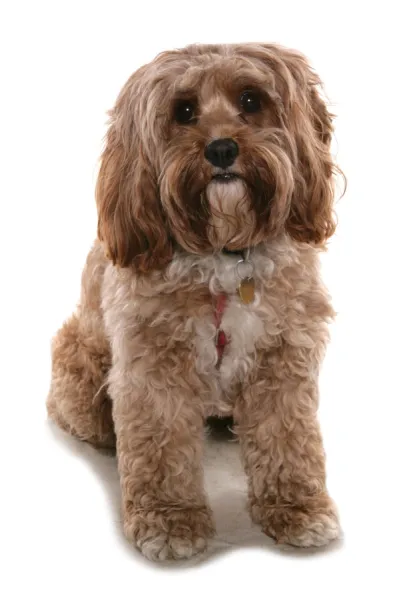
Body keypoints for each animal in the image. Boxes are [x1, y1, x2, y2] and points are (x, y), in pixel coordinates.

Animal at [46, 43, 340, 564]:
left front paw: (298, 509)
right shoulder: (153, 369)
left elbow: (289, 440)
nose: (221, 149)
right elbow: (161, 450)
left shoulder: (283, 359)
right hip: (79, 371)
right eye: (183, 111)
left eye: (250, 100)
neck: (225, 257)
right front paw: (170, 520)